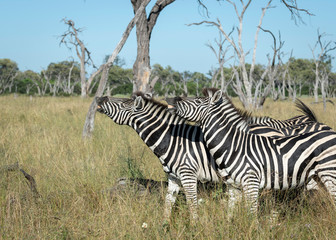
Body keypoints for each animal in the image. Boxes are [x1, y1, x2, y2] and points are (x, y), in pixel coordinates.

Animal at [168, 88, 336, 214]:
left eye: (197, 101)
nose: (171, 100)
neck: (234, 145)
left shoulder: (251, 181)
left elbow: (252, 213)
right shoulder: (234, 184)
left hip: (329, 173)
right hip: (316, 177)